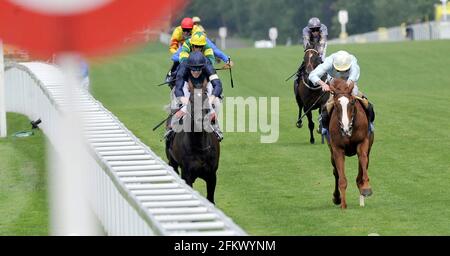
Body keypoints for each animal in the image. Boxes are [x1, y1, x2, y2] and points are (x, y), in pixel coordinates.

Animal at [326, 79, 374, 209]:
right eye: (336, 105)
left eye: (352, 102)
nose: (345, 128)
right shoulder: (337, 149)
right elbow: (341, 178)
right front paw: (343, 205)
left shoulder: (363, 142)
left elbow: (363, 160)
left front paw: (366, 188)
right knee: (336, 172)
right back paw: (337, 197)